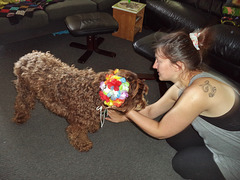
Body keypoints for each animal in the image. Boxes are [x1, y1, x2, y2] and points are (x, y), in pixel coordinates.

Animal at [12, 51, 148, 152]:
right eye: (138, 94)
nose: (145, 105)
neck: (94, 92)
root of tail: (26, 57)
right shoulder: (77, 121)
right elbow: (77, 133)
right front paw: (83, 144)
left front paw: (92, 127)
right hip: (24, 89)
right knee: (20, 102)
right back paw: (21, 116)